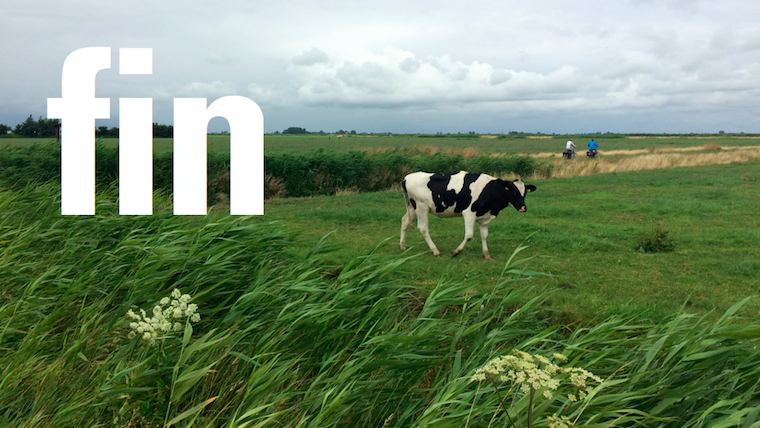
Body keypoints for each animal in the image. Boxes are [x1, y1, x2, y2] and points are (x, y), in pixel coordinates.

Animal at [400, 171, 536, 260]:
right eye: (513, 192)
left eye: (525, 193)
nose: (523, 207)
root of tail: (406, 178)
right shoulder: (469, 213)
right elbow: (469, 235)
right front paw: (456, 252)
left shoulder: (484, 217)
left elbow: (484, 236)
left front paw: (486, 255)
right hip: (421, 207)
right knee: (423, 229)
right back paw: (435, 251)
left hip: (412, 207)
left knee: (404, 221)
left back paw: (402, 246)